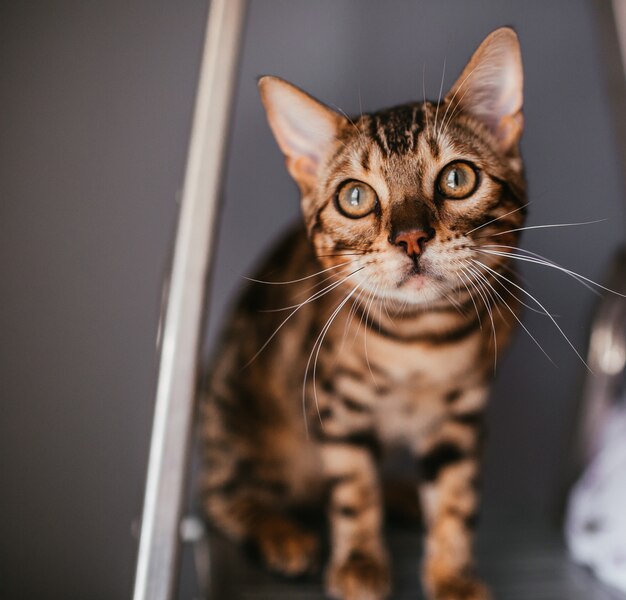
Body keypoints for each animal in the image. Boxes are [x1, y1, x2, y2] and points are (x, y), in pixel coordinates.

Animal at [200, 25, 528, 596]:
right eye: (355, 197)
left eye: (457, 179)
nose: (410, 237)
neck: (421, 340)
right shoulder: (337, 404)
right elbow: (353, 487)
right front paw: (358, 564)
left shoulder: (463, 413)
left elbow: (456, 496)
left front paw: (452, 575)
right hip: (234, 415)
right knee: (222, 495)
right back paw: (280, 533)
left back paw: (400, 493)